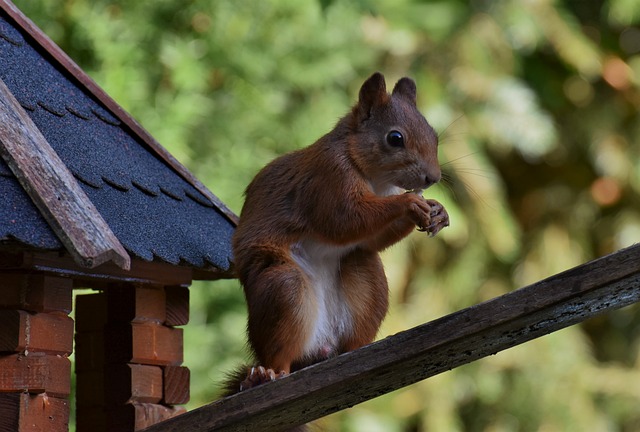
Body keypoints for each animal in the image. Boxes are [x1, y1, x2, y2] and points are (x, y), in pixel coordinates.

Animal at [228, 72, 448, 396]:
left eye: (434, 135)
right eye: (395, 138)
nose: (432, 178)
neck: (375, 178)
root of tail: (320, 347)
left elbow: (369, 238)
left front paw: (438, 211)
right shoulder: (328, 177)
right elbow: (344, 219)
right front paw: (409, 203)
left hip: (365, 277)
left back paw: (357, 349)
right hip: (283, 287)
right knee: (281, 350)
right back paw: (267, 374)